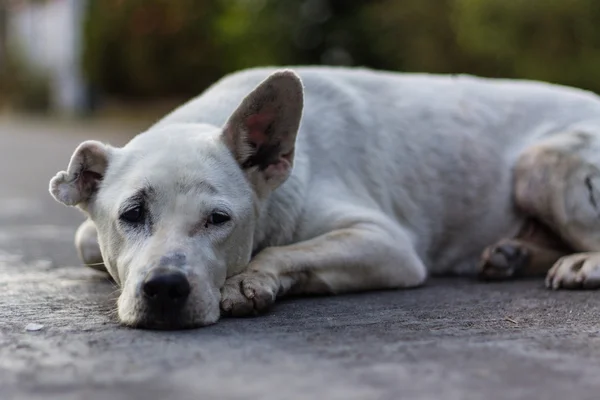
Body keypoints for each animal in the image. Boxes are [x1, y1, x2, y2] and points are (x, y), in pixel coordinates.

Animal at [48, 67, 600, 330]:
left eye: (219, 219)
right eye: (132, 214)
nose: (165, 288)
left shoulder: (387, 244)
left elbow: (287, 251)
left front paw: (251, 280)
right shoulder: (92, 232)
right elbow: (85, 239)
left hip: (542, 162)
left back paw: (579, 263)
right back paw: (515, 253)